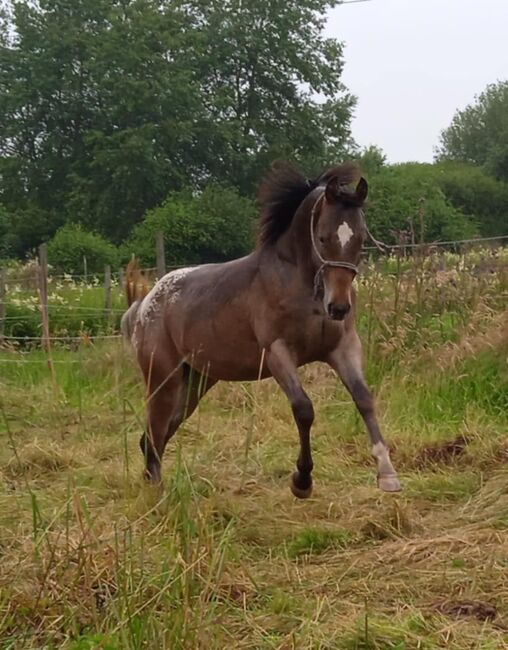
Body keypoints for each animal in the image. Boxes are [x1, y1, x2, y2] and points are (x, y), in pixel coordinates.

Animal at [124, 162, 401, 497]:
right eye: (322, 238)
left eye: (360, 239)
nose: (338, 307)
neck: (301, 287)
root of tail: (143, 304)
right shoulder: (277, 352)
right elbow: (303, 409)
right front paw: (302, 481)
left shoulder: (343, 348)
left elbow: (364, 398)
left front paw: (387, 474)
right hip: (163, 378)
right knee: (154, 432)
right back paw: (158, 494)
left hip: (197, 381)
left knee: (158, 434)